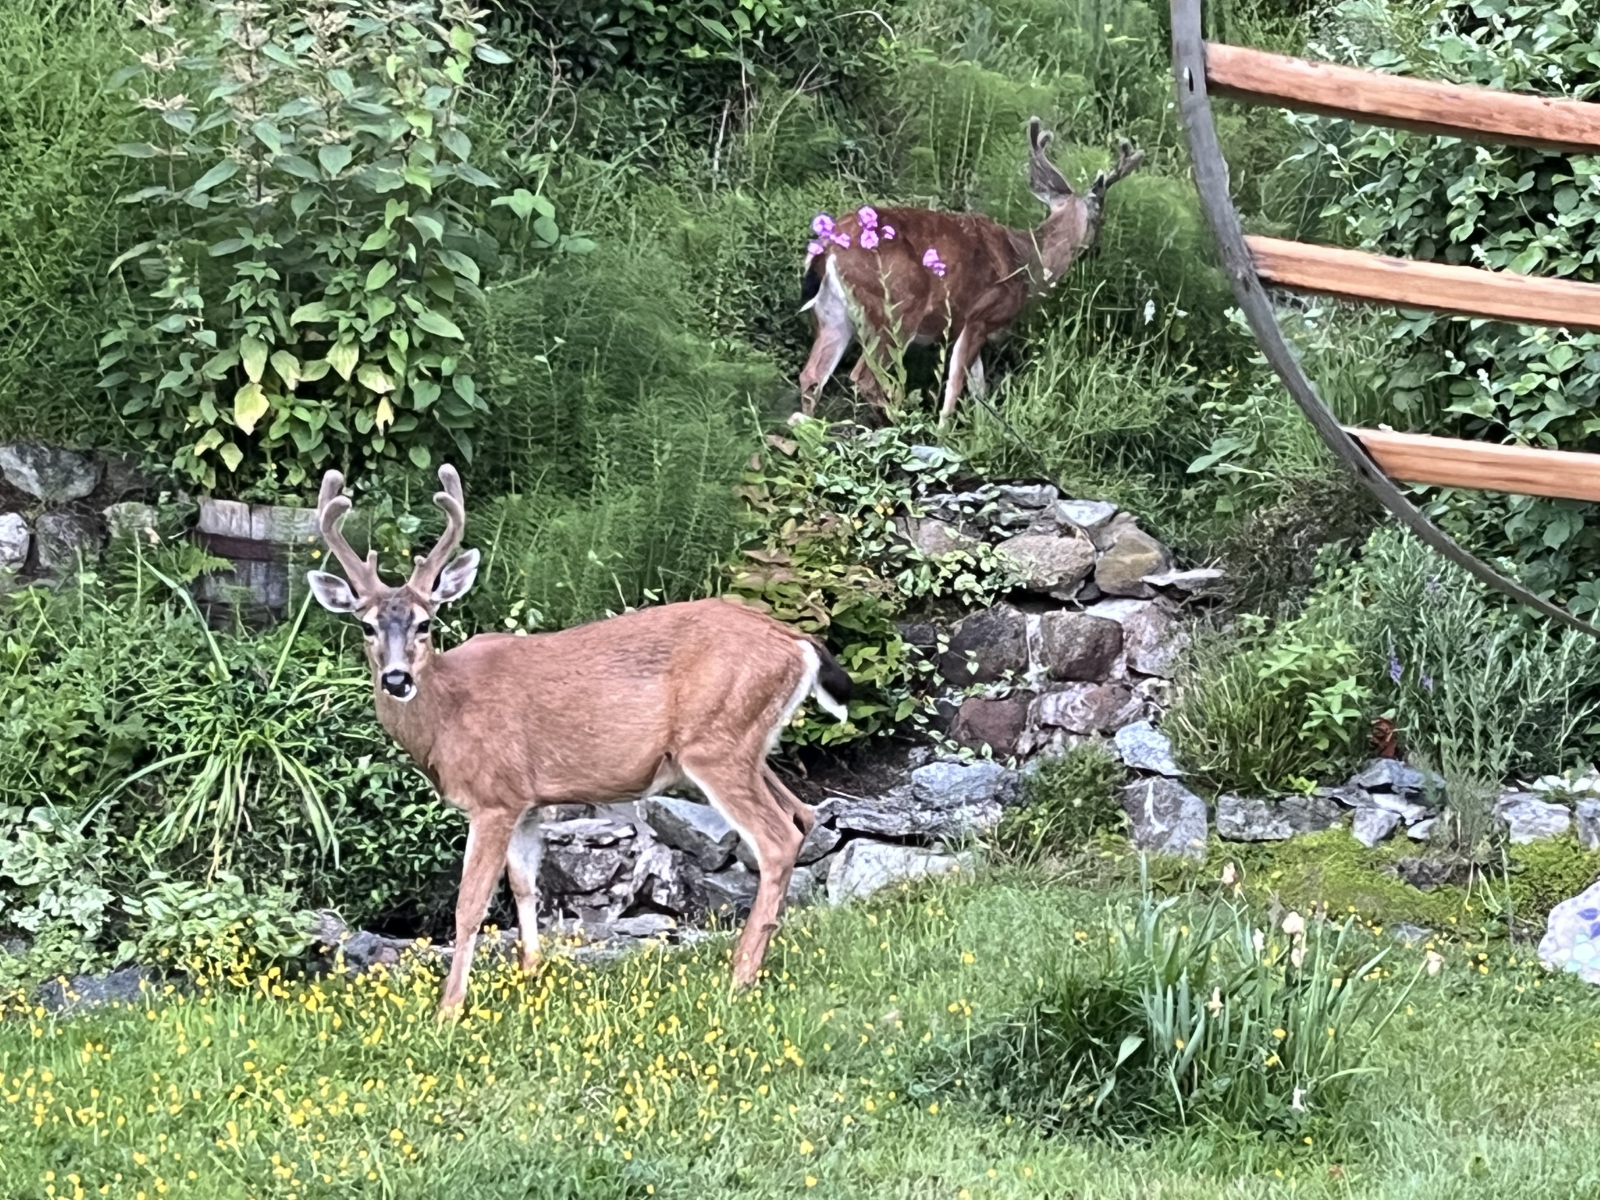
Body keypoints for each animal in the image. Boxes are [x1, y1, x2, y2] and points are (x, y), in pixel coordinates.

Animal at [305, 465, 853, 1019]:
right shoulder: (526, 801)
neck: (447, 715)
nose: (396, 679)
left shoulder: (494, 796)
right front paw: (530, 977)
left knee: (776, 839)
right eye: (366, 625)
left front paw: (449, 1009)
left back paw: (739, 977)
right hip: (748, 744)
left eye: (425, 622)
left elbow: (470, 904)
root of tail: (798, 642)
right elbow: (524, 887)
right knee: (802, 815)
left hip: (715, 744)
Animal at [797, 117, 1144, 426]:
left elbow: (979, 389)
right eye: (1102, 219)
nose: (1096, 250)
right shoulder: (981, 314)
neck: (1028, 261)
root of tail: (830, 245)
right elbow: (956, 386)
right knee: (864, 377)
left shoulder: (967, 324)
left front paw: (981, 428)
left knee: (812, 376)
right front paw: (944, 433)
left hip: (832, 313)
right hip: (896, 308)